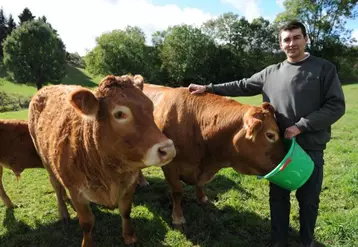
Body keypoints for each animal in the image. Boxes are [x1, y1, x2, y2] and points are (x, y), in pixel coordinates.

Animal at [28, 75, 176, 247]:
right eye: (119, 114)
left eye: (151, 107)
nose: (168, 149)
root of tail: (46, 88)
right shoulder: (76, 190)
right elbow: (87, 223)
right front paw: (87, 243)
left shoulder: (130, 182)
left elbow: (126, 211)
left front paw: (129, 236)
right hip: (45, 160)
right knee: (56, 186)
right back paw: (63, 212)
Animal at [143, 83, 286, 230]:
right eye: (270, 135)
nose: (284, 161)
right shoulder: (170, 166)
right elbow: (177, 192)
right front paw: (178, 218)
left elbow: (200, 184)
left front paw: (202, 199)